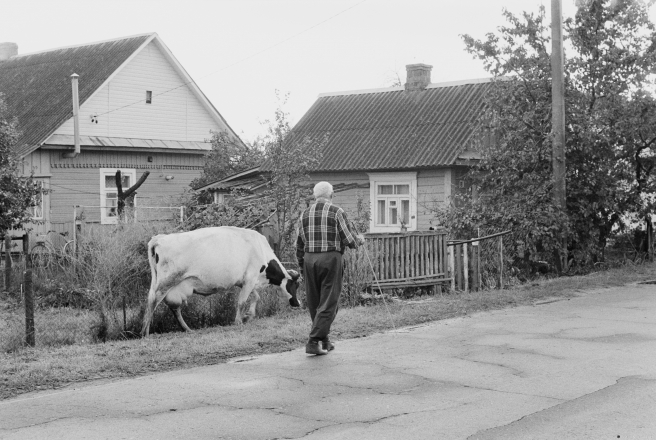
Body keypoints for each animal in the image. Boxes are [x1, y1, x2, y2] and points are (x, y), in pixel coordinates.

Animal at [142, 227, 302, 336]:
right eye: (296, 284)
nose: (298, 303)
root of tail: (159, 238)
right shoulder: (250, 278)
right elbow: (242, 302)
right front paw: (239, 321)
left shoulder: (247, 281)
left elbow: (256, 297)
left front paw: (248, 316)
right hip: (166, 282)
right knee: (153, 301)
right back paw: (145, 332)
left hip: (173, 286)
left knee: (174, 307)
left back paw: (187, 329)